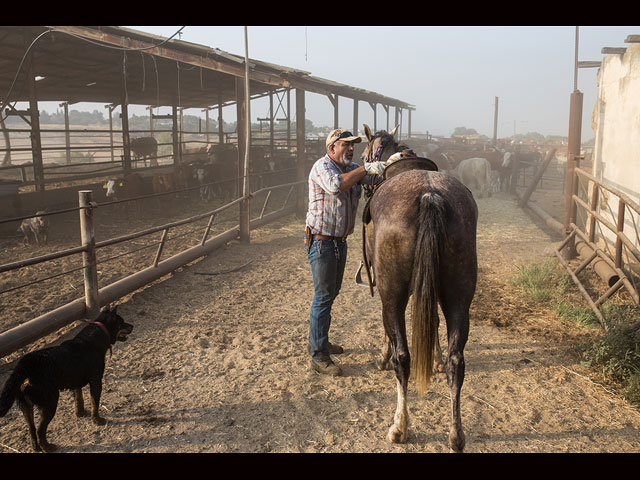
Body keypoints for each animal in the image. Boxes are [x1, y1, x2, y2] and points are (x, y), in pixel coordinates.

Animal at [0, 306, 132, 452]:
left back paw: (36, 447)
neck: (95, 339)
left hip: (26, 406)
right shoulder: (96, 381)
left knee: (32, 429)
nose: (132, 326)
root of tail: (26, 365)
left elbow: (79, 399)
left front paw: (80, 413)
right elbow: (94, 403)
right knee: (40, 430)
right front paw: (97, 420)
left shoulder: (76, 382)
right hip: (50, 402)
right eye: (122, 322)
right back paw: (47, 447)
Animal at [362, 124, 478, 454]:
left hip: (393, 294)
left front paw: (382, 357)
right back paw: (456, 434)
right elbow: (434, 323)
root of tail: (430, 196)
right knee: (457, 361)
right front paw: (436, 359)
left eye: (364, 154)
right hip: (459, 297)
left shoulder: (388, 292)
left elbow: (391, 336)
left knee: (404, 358)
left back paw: (400, 427)